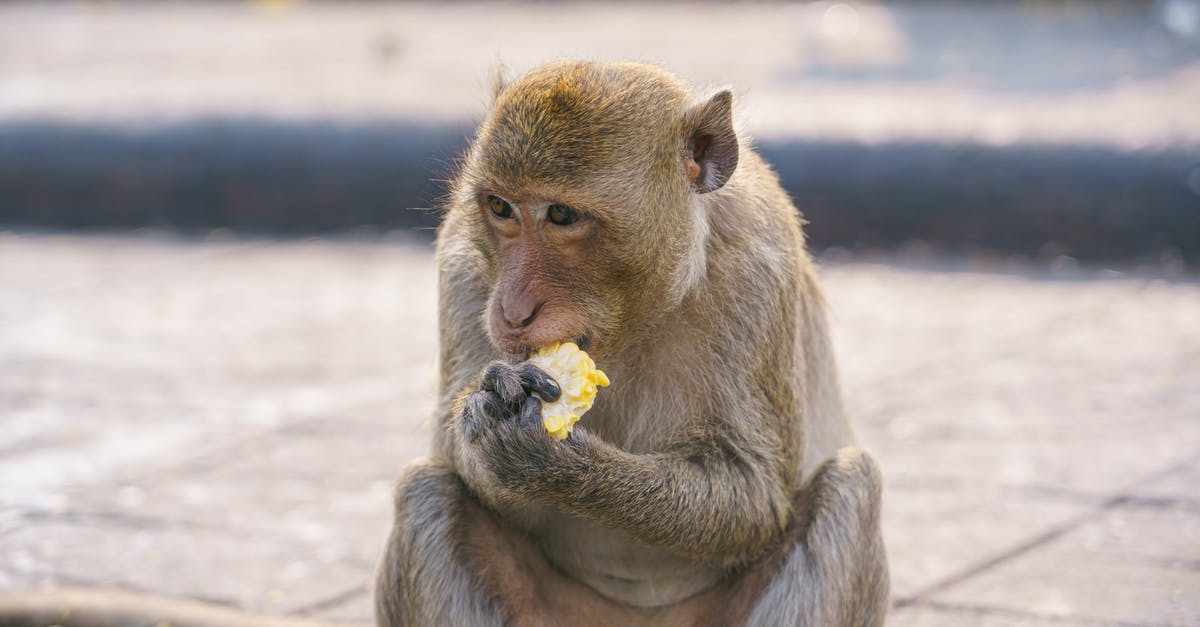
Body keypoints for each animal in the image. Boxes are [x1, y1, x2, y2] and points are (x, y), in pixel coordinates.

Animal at [376, 59, 892, 624]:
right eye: (500, 207)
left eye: (561, 215)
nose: (511, 310)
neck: (637, 318)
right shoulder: (462, 262)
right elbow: (454, 455)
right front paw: (483, 408)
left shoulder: (760, 261)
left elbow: (755, 493)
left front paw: (559, 465)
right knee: (427, 490)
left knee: (851, 485)